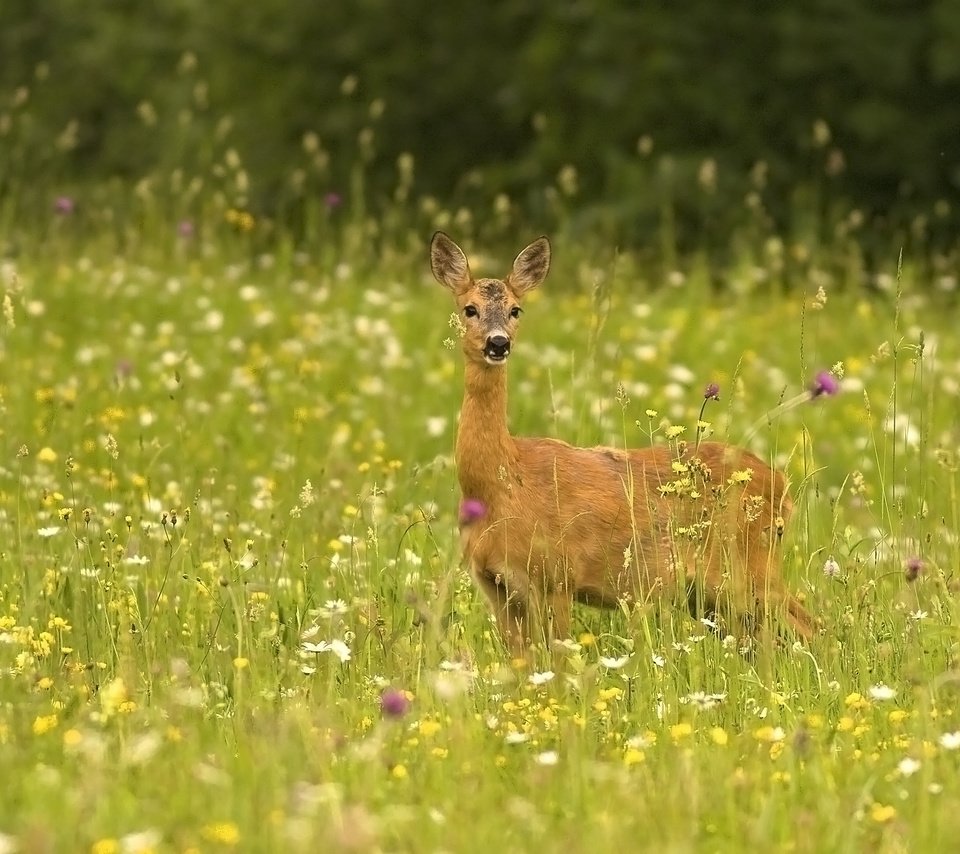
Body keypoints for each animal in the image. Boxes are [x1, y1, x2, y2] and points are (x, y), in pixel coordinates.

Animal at [432, 231, 812, 660]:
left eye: (516, 310)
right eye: (469, 309)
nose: (498, 343)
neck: (502, 484)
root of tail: (782, 484)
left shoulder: (557, 575)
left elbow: (559, 660)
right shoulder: (494, 584)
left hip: (747, 567)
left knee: (813, 626)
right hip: (712, 595)